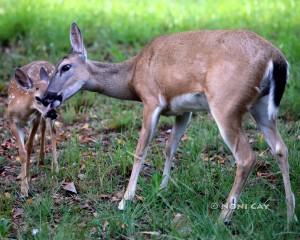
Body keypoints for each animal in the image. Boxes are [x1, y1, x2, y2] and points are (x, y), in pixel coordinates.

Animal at [5, 61, 58, 197]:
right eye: (38, 98)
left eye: (53, 97)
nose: (53, 113)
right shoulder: (12, 122)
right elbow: (22, 152)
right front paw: (24, 183)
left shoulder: (36, 118)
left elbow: (29, 147)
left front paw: (25, 185)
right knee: (44, 128)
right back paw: (41, 159)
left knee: (52, 132)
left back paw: (55, 168)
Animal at [41, 23, 296, 223]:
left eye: (65, 66)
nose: (46, 96)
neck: (133, 76)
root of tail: (276, 58)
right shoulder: (183, 111)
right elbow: (169, 147)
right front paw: (162, 189)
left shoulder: (151, 100)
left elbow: (140, 150)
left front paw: (125, 200)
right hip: (261, 108)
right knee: (280, 148)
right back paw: (290, 215)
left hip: (226, 104)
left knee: (247, 157)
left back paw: (223, 216)